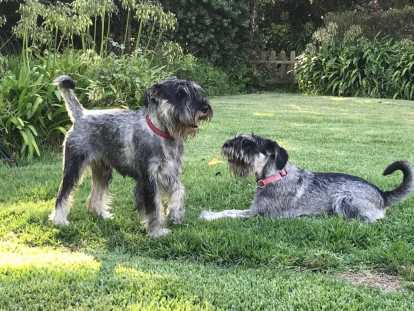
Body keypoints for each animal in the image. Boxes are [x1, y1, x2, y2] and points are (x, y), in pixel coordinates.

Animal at [51, 75, 212, 239]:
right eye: (180, 94)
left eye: (196, 91)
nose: (204, 108)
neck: (163, 132)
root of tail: (81, 115)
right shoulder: (148, 179)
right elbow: (154, 207)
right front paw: (157, 231)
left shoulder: (171, 173)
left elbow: (179, 191)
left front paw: (175, 215)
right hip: (73, 168)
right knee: (63, 194)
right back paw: (59, 221)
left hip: (103, 170)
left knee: (96, 193)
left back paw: (101, 214)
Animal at [200, 135, 410, 223]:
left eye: (247, 143)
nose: (226, 144)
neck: (274, 176)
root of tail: (382, 194)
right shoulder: (254, 210)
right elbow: (229, 210)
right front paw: (210, 213)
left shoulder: (258, 214)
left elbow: (232, 214)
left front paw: (209, 217)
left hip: (344, 199)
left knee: (369, 220)